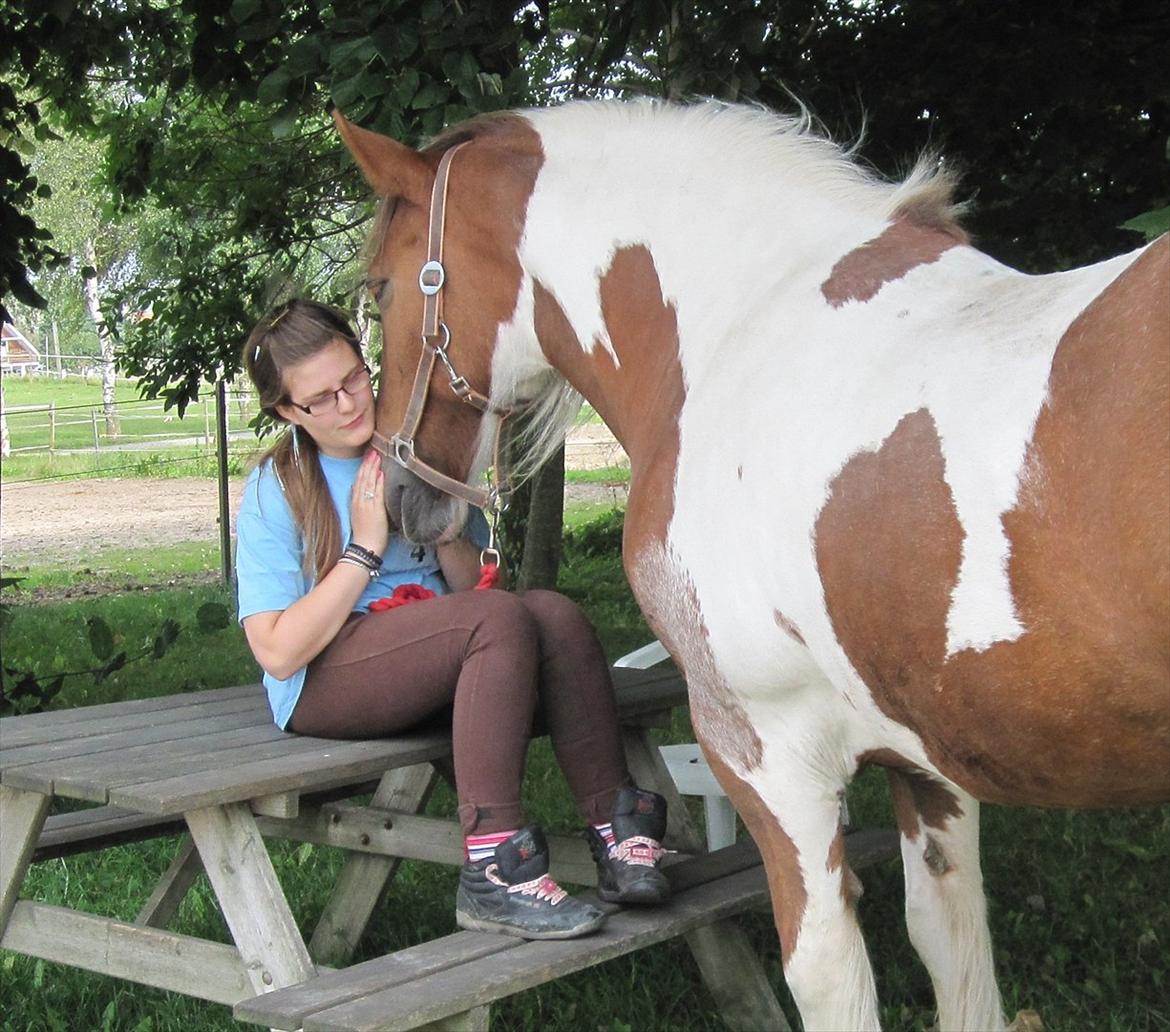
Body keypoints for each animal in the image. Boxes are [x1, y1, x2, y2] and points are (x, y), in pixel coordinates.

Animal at [334, 98, 1165, 1029]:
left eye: (382, 289)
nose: (400, 494)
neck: (742, 342)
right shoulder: (928, 764)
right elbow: (952, 950)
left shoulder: (768, 755)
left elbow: (828, 973)